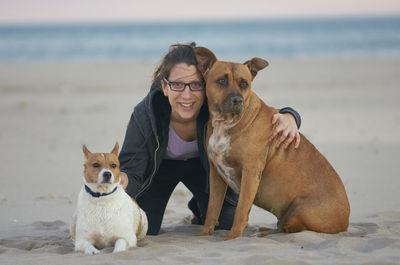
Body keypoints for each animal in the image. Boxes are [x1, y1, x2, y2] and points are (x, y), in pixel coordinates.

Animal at [195, 47, 350, 239]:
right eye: (221, 81)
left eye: (244, 84)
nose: (238, 100)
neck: (227, 123)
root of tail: (345, 222)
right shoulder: (216, 174)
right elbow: (212, 209)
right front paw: (203, 235)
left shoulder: (251, 173)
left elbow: (241, 211)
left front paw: (232, 238)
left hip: (299, 210)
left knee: (290, 228)